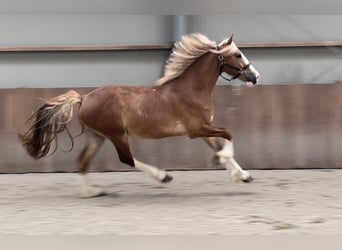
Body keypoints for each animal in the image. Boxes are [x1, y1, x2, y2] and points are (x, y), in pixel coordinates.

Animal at [18, 33, 260, 197]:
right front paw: (227, 164)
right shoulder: (196, 129)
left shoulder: (204, 129)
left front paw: (243, 176)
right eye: (238, 54)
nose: (255, 76)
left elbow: (220, 143)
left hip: (97, 136)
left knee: (83, 161)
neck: (190, 90)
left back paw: (92, 192)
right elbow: (228, 134)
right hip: (116, 134)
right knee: (126, 158)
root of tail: (84, 98)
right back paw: (162, 176)